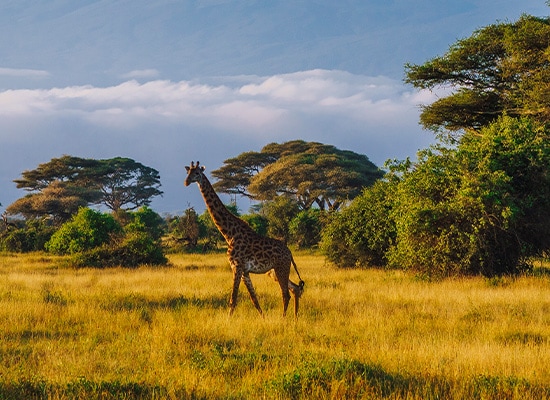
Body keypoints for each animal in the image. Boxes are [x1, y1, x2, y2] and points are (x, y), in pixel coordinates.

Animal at [185, 161, 306, 318]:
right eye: (188, 172)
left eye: (197, 173)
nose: (186, 182)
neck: (229, 233)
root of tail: (290, 253)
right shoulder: (245, 271)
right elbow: (254, 299)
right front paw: (263, 318)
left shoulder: (236, 267)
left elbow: (233, 299)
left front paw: (228, 321)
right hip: (274, 271)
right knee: (295, 288)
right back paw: (295, 318)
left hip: (281, 268)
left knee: (286, 294)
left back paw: (283, 319)